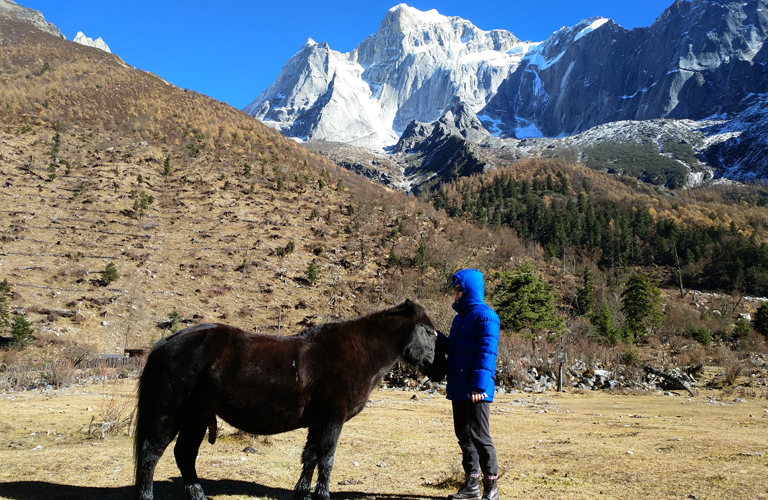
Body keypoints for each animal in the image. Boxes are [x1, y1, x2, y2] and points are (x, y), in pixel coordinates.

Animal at [134, 298, 438, 498]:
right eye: (428, 330)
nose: (435, 365)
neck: (358, 351)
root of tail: (167, 342)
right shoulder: (332, 419)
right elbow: (326, 457)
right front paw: (322, 495)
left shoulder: (318, 422)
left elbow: (310, 457)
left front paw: (302, 494)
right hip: (170, 413)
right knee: (150, 453)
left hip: (195, 417)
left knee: (184, 454)